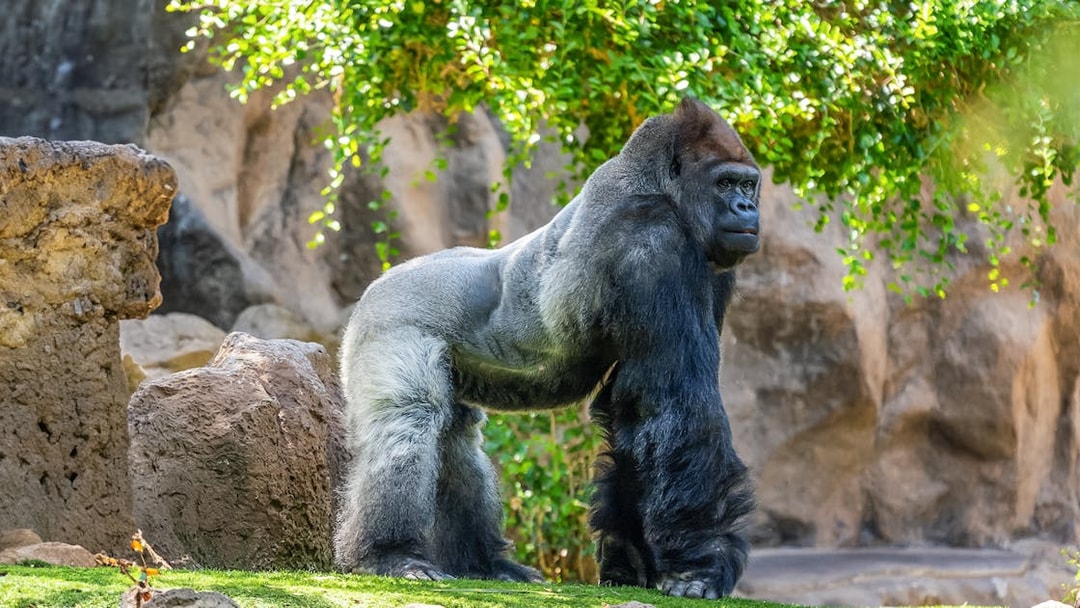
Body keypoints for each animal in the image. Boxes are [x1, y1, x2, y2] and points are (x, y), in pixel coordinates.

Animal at [335, 97, 759, 599]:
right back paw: (390, 554)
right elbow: (677, 404)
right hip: (387, 322)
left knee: (455, 438)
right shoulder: (653, 242)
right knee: (408, 421)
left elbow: (635, 409)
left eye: (749, 184)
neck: (658, 185)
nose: (747, 207)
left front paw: (632, 562)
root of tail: (377, 283)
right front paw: (700, 566)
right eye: (725, 183)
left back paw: (483, 562)